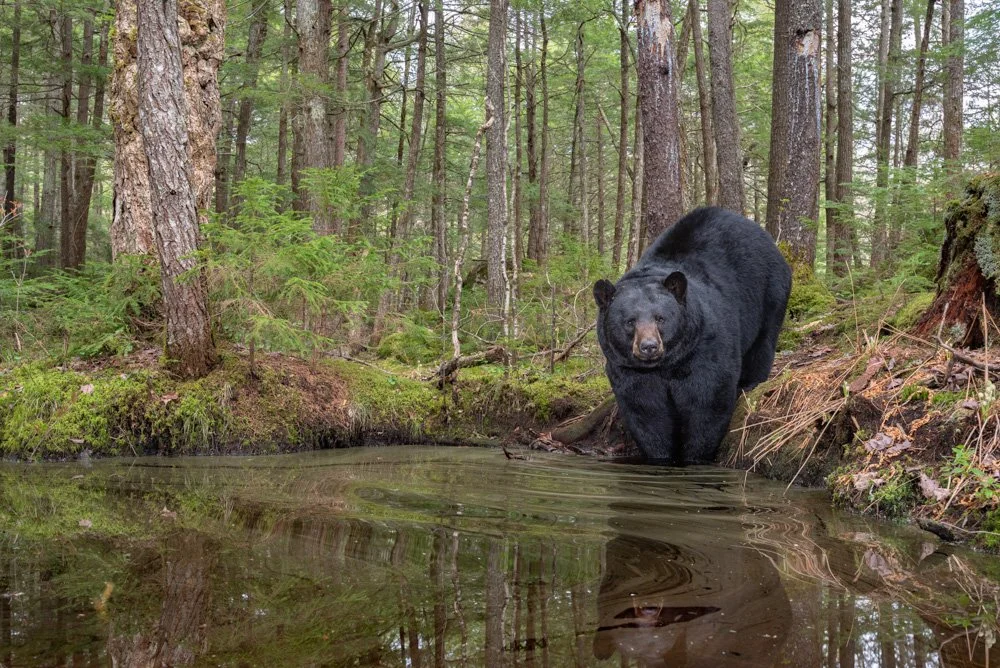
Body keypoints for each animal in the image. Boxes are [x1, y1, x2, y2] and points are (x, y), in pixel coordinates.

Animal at [593, 207, 791, 465]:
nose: (649, 346)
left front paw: (695, 456)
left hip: (770, 292)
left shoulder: (705, 348)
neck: (666, 366)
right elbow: (646, 411)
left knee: (763, 343)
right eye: (630, 321)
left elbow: (707, 401)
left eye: (660, 318)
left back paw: (750, 383)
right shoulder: (629, 370)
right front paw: (661, 455)